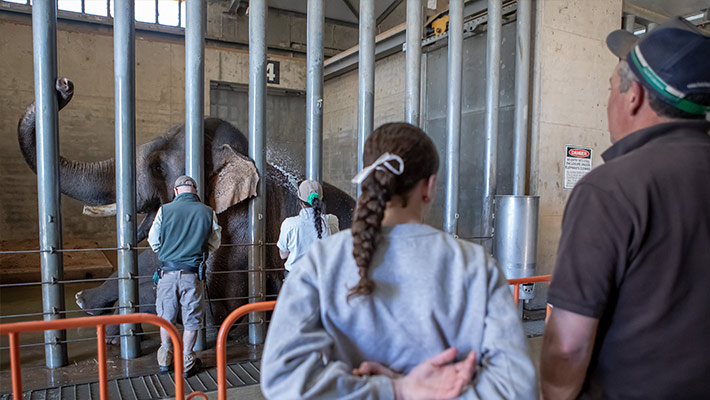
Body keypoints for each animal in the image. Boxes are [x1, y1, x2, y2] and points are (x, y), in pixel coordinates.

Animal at [18, 79, 356, 342]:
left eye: (157, 167)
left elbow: (218, 299)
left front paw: (113, 327)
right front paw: (90, 306)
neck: (240, 155)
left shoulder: (245, 227)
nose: (64, 85)